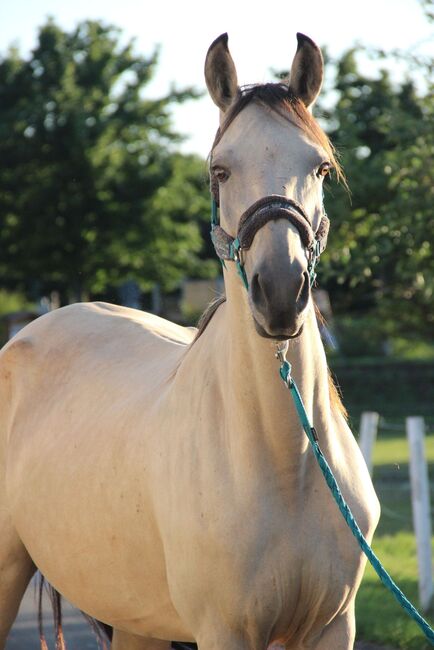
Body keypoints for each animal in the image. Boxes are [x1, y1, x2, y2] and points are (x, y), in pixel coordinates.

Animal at [0, 31, 378, 648]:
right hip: (9, 570)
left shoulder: (331, 627)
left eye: (321, 167)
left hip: (137, 621)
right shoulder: (224, 630)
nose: (280, 290)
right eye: (220, 171)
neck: (286, 464)